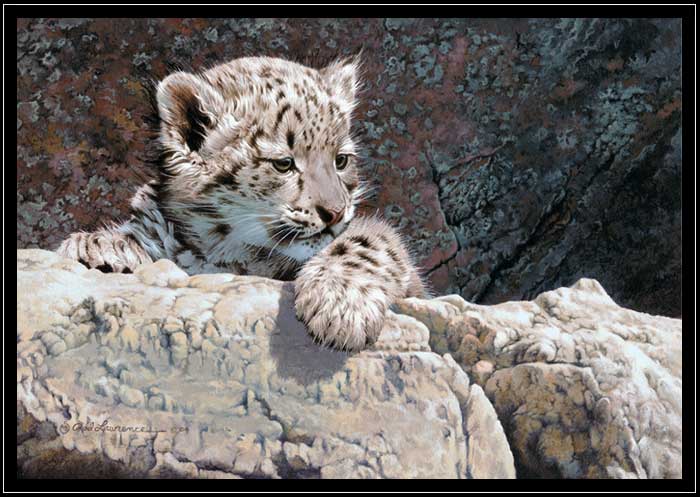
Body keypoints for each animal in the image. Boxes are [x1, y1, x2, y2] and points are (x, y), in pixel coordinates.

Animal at [57, 55, 428, 351]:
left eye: (341, 160)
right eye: (283, 163)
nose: (335, 213)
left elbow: (367, 241)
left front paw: (342, 306)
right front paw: (98, 247)